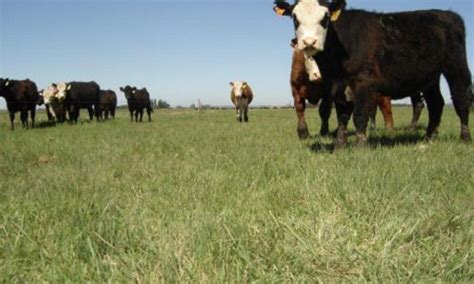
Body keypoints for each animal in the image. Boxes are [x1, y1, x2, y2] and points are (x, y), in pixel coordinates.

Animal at [274, 1, 470, 149]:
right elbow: (342, 115)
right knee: (436, 104)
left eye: (325, 17)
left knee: (461, 99)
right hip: (430, 78)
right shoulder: (337, 85)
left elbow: (360, 114)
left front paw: (361, 145)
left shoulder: (364, 82)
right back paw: (430, 137)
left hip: (456, 67)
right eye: (295, 18)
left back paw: (465, 137)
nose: (309, 42)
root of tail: (448, 14)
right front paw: (339, 144)